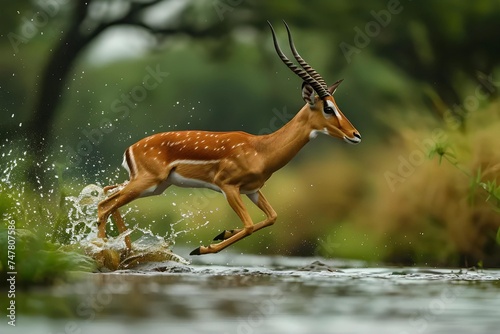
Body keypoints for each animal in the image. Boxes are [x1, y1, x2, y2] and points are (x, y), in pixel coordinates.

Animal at [97, 22, 362, 254]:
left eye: (336, 104)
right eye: (328, 108)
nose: (355, 135)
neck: (262, 149)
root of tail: (130, 149)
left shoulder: (252, 190)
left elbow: (272, 217)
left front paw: (221, 233)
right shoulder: (228, 187)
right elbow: (249, 226)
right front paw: (201, 249)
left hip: (154, 187)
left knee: (108, 195)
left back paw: (125, 251)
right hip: (147, 183)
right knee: (104, 206)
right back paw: (106, 253)